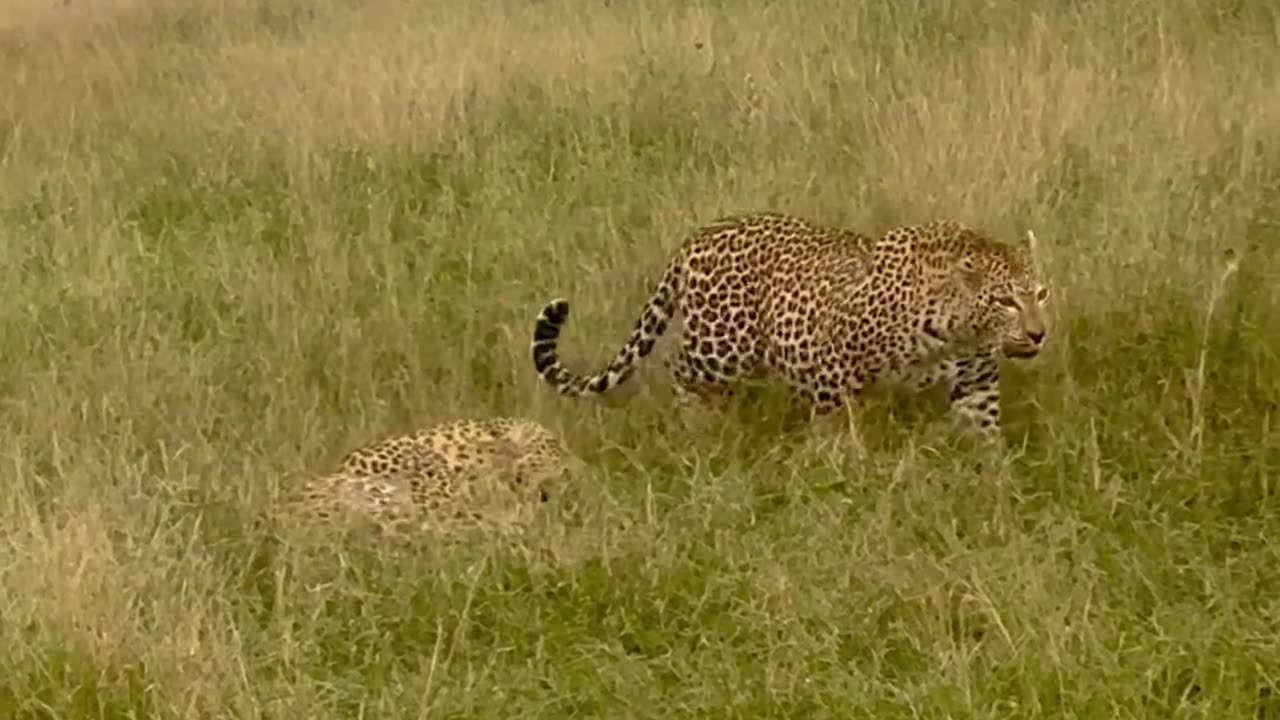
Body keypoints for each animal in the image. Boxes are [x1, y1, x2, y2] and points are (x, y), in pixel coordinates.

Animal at [529, 210, 1049, 440]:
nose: (1039, 334)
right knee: (679, 369)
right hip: (722, 347)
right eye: (1005, 300)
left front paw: (992, 485)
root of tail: (697, 237)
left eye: (1041, 294)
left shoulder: (977, 384)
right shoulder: (833, 371)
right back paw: (697, 423)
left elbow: (985, 435)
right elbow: (834, 428)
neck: (958, 331)